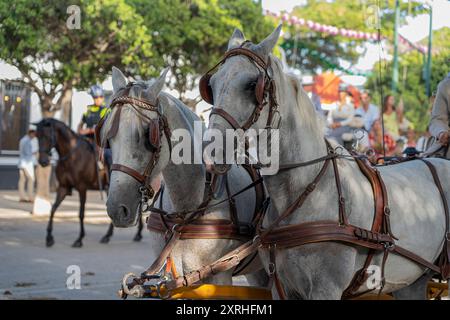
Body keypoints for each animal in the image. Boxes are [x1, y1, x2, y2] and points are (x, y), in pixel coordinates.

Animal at [35, 118, 142, 248]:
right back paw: (112, 235)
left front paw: (79, 239)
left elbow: (81, 214)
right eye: (37, 136)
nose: (43, 161)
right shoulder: (63, 187)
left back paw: (134, 234)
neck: (72, 154)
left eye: (47, 136)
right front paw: (49, 238)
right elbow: (53, 209)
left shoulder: (82, 188)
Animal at [205, 26, 450, 298]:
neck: (305, 190)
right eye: (211, 86)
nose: (209, 151)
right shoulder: (282, 286)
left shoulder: (326, 289)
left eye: (251, 85)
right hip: (412, 281)